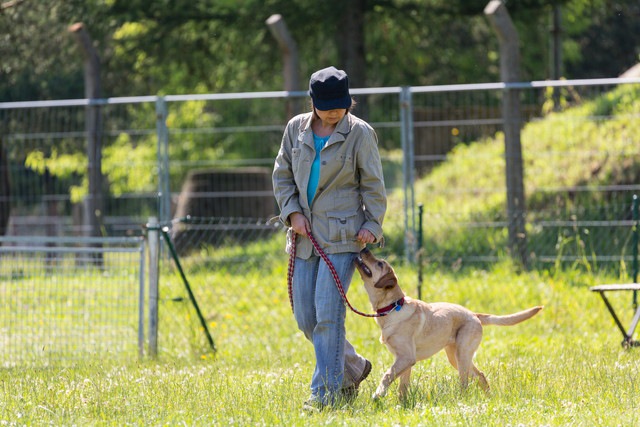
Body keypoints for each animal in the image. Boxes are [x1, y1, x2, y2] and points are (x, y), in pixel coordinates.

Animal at [352, 247, 544, 402]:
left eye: (379, 263)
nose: (365, 248)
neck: (392, 307)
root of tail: (474, 315)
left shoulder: (406, 357)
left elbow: (387, 375)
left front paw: (378, 394)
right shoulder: (404, 361)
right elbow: (402, 387)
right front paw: (402, 405)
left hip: (462, 355)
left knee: (466, 383)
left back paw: (461, 401)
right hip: (455, 356)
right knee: (480, 376)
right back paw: (489, 398)